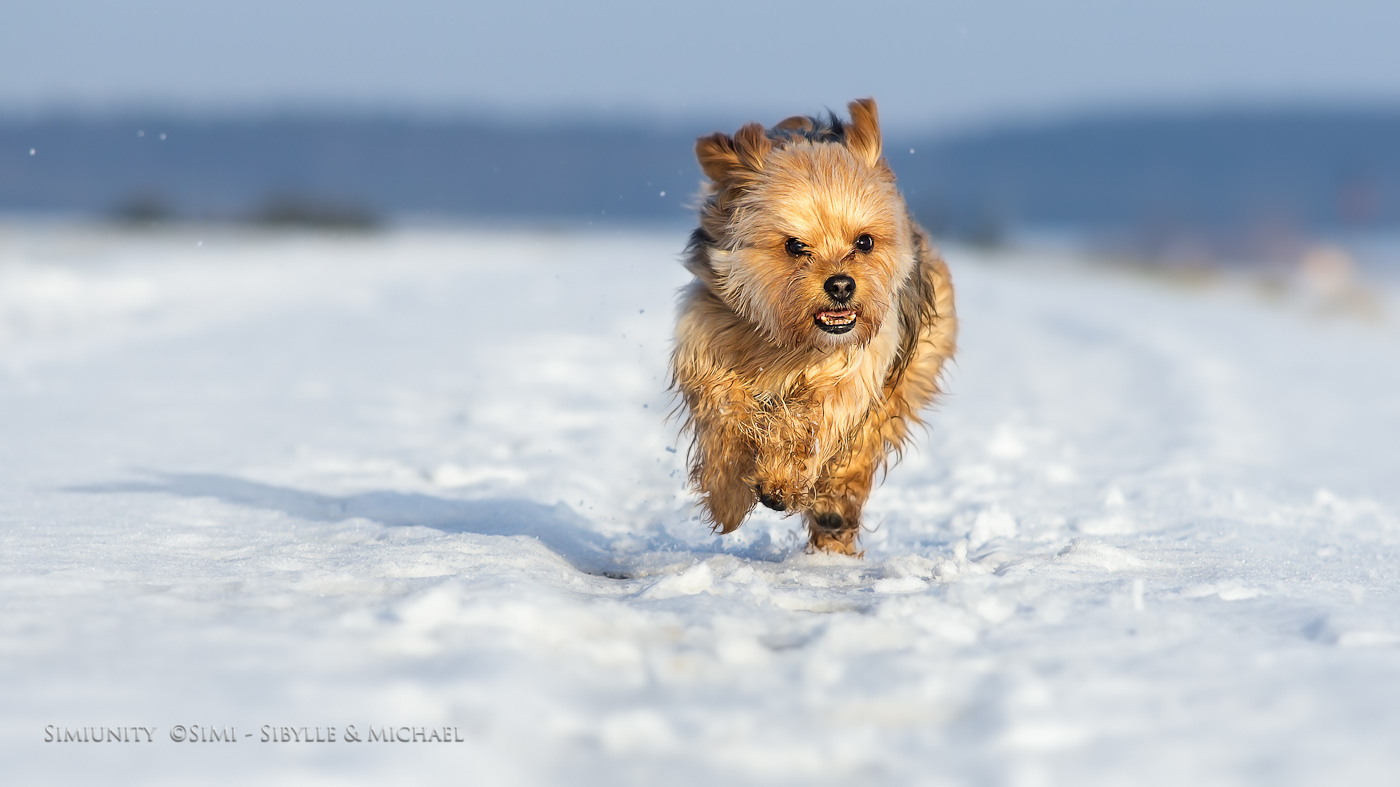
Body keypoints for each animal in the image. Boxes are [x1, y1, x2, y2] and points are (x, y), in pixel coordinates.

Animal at [669, 96, 957, 551]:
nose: (840, 284)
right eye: (794, 245)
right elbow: (723, 412)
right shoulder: (706, 344)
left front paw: (780, 482)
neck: (790, 343)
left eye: (864, 242)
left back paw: (833, 515)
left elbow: (815, 419)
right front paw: (729, 497)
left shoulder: (856, 367)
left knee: (863, 446)